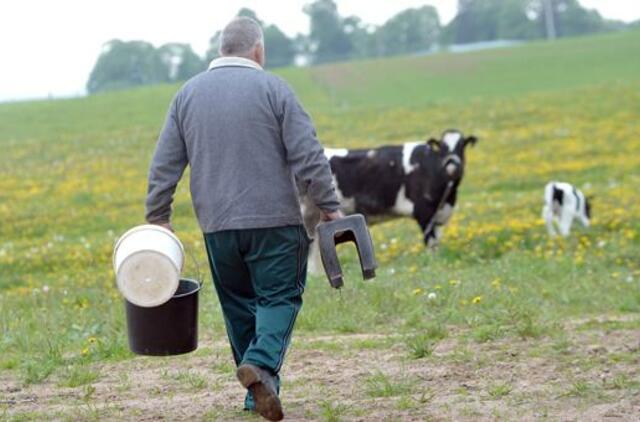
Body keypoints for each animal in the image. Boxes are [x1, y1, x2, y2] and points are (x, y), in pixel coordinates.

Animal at [302, 130, 478, 272]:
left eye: (462, 146)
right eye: (442, 148)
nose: (452, 167)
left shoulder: (437, 215)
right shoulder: (424, 212)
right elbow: (431, 244)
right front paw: (433, 263)